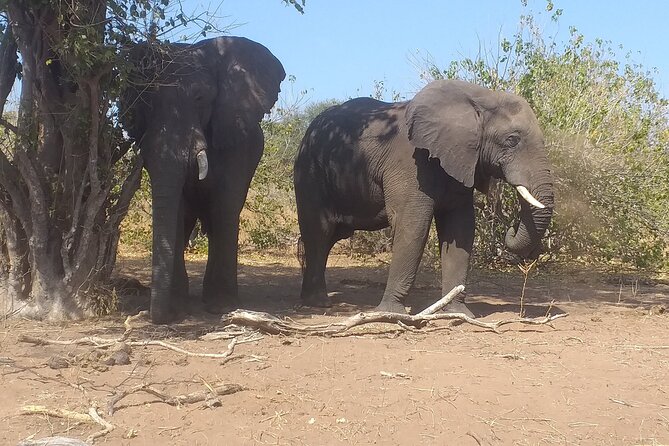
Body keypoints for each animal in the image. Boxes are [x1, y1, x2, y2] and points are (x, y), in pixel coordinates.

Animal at [122, 36, 285, 324]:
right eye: (146, 103)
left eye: (199, 98)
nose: (159, 316)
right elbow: (177, 210)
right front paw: (178, 307)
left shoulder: (237, 143)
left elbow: (224, 206)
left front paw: (221, 307)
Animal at [293, 79, 554, 317]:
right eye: (512, 140)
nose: (511, 229)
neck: (478, 98)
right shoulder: (410, 164)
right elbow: (413, 226)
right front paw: (391, 313)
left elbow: (460, 228)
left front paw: (458, 314)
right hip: (309, 170)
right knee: (319, 232)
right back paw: (318, 304)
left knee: (329, 237)